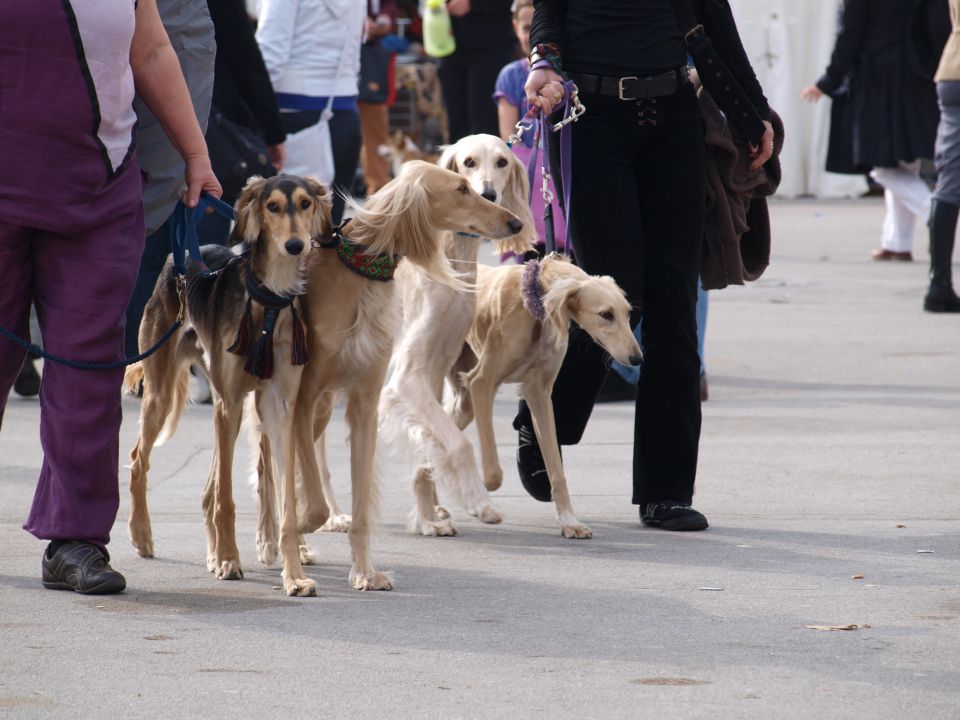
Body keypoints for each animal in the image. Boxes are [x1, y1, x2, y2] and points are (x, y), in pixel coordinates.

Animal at [125, 176, 332, 596]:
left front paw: (294, 576)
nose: (296, 245)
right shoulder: (230, 401)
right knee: (140, 459)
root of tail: (179, 259)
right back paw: (142, 536)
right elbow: (226, 498)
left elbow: (288, 501)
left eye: (305, 203)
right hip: (162, 392)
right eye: (272, 206)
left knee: (209, 487)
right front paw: (227, 560)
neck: (269, 301)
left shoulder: (281, 405)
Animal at [452, 256, 644, 536]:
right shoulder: (482, 383)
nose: (637, 359)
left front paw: (569, 522)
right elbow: (493, 472)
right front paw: (482, 494)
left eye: (628, 313)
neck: (535, 303)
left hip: (465, 403)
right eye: (606, 314)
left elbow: (556, 467)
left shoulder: (539, 393)